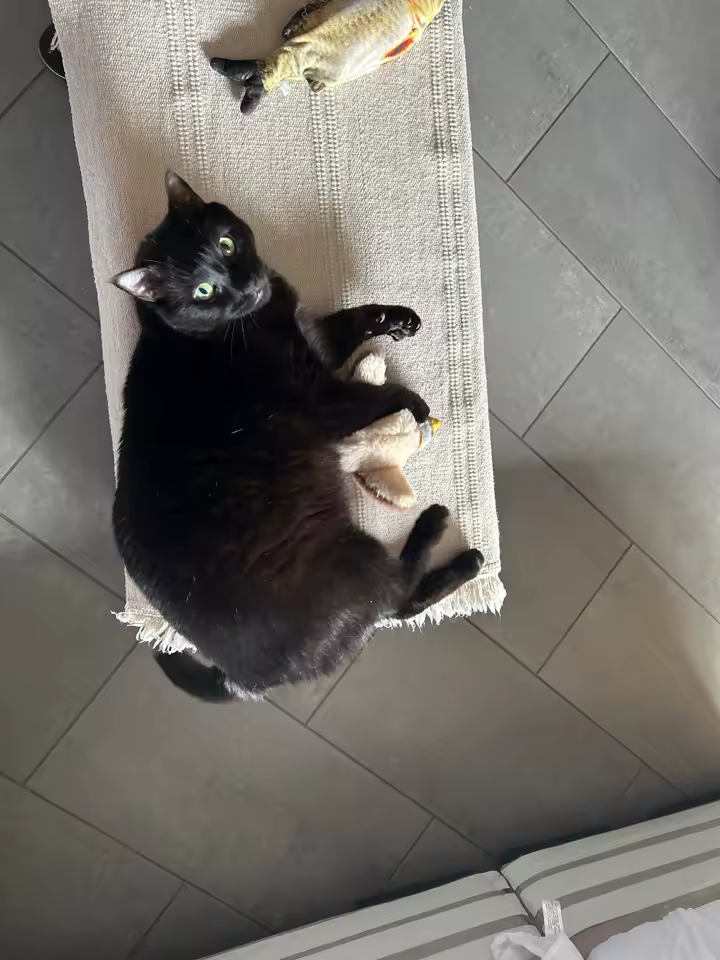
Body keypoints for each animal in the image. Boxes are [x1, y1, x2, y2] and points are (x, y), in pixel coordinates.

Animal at [112, 171, 483, 702]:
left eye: (226, 244)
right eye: (203, 291)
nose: (243, 285)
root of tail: (241, 679)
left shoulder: (315, 340)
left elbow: (350, 318)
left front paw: (398, 319)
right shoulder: (320, 397)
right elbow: (378, 393)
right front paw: (414, 405)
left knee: (396, 606)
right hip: (354, 559)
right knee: (397, 599)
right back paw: (448, 538)